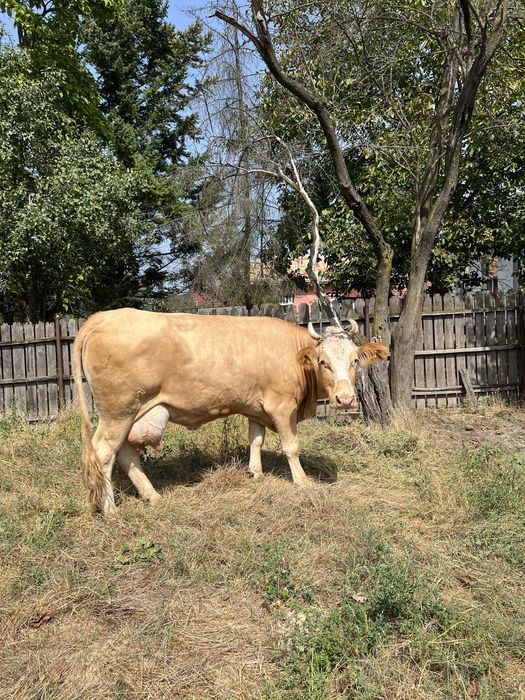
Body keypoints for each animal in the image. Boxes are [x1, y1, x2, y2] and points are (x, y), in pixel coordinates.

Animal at [72, 309, 388, 515]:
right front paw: (302, 481)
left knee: (125, 453)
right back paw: (110, 510)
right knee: (103, 454)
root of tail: (102, 316)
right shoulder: (282, 406)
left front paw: (256, 473)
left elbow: (256, 439)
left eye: (355, 360)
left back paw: (152, 496)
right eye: (323, 362)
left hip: (130, 414)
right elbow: (291, 446)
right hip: (118, 412)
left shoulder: (256, 408)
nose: (345, 399)